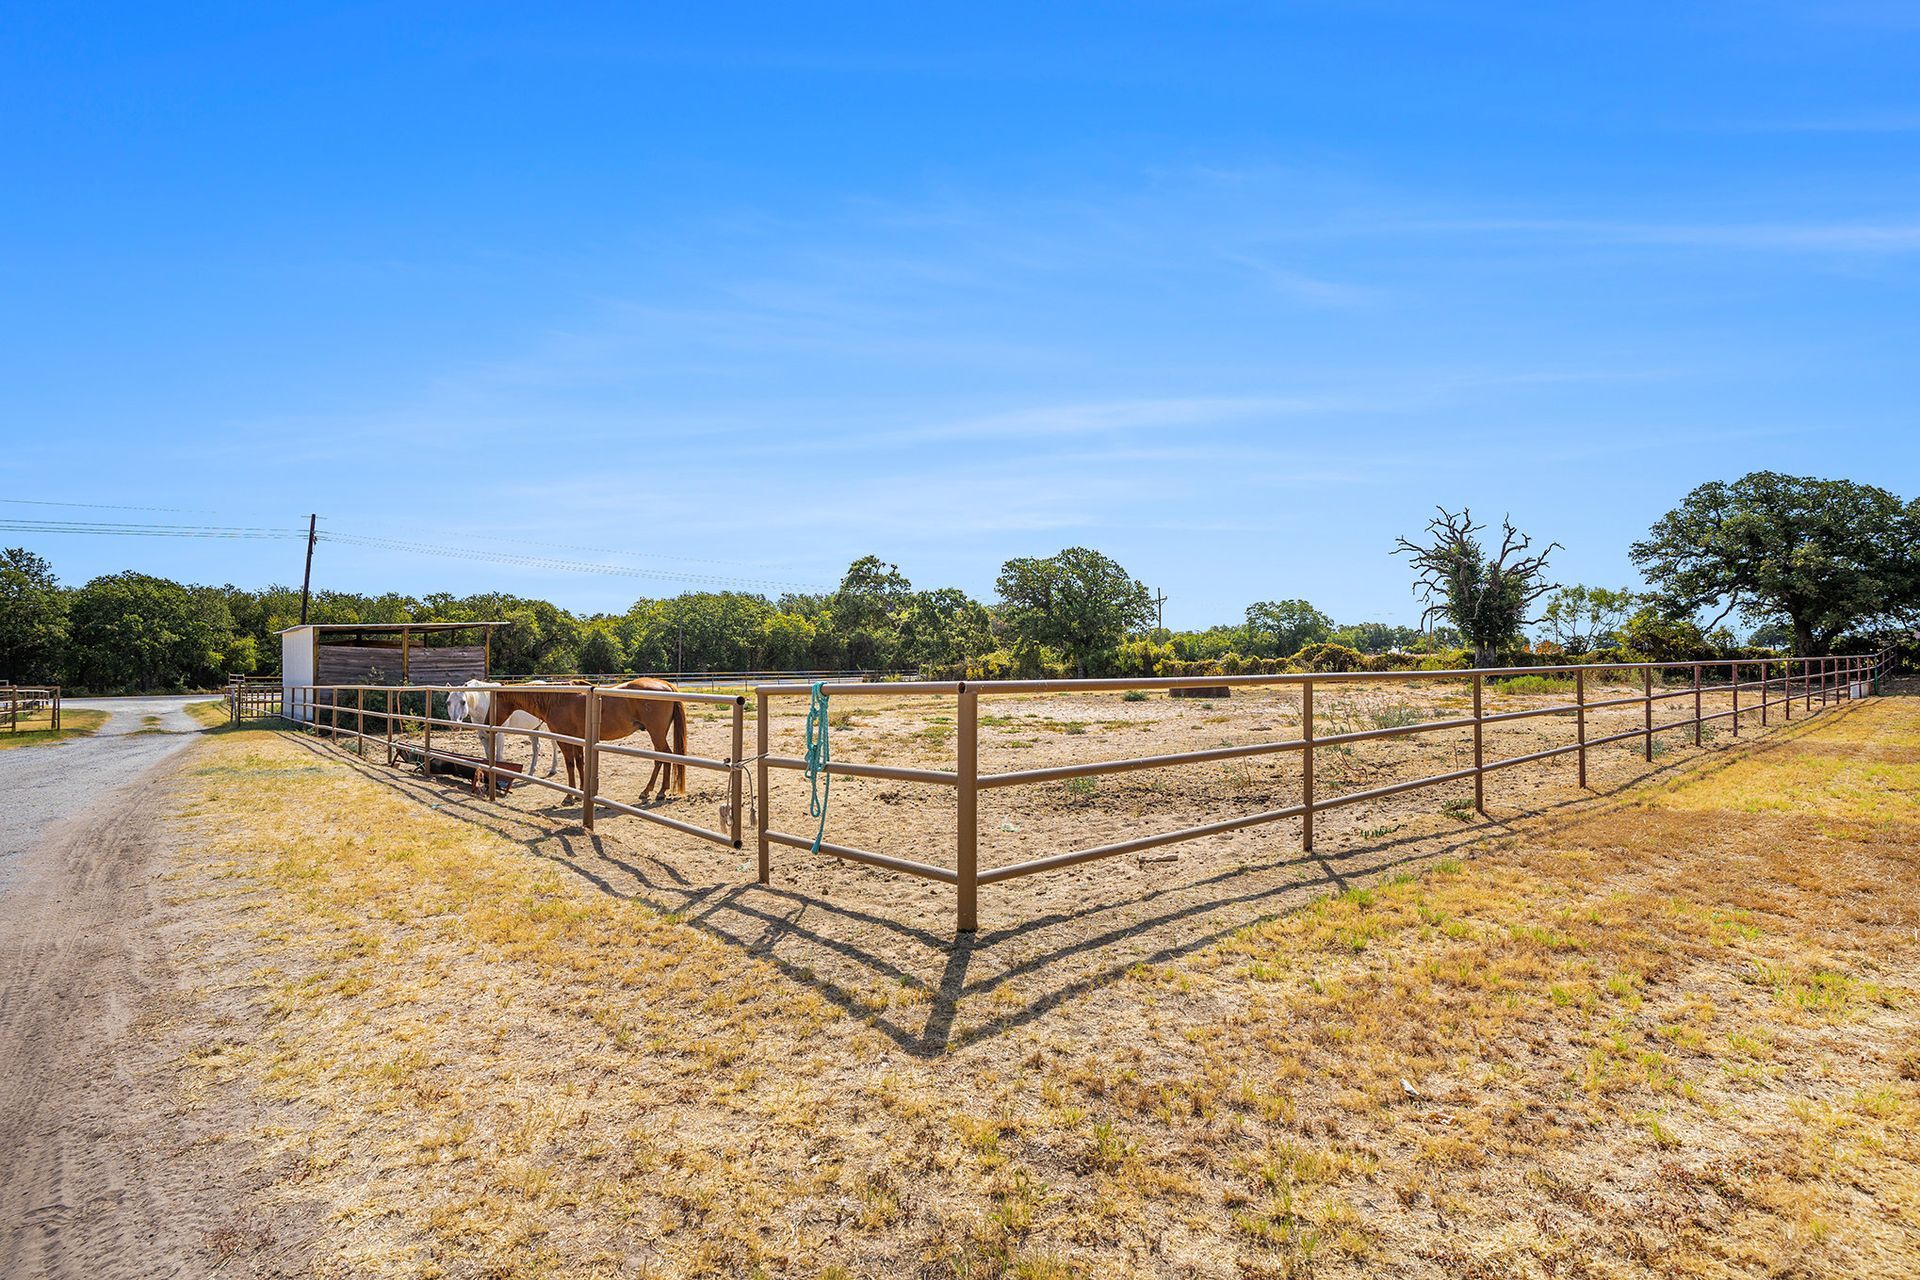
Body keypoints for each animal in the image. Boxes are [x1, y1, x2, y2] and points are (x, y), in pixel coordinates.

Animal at [480, 677, 687, 803]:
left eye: (494, 702)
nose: (486, 721)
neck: (558, 700)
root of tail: (665, 686)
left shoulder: (565, 740)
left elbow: (571, 765)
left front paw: (569, 796)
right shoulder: (579, 739)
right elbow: (580, 763)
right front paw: (580, 792)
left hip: (656, 733)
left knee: (663, 757)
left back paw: (655, 791)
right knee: (663, 757)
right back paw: (655, 791)